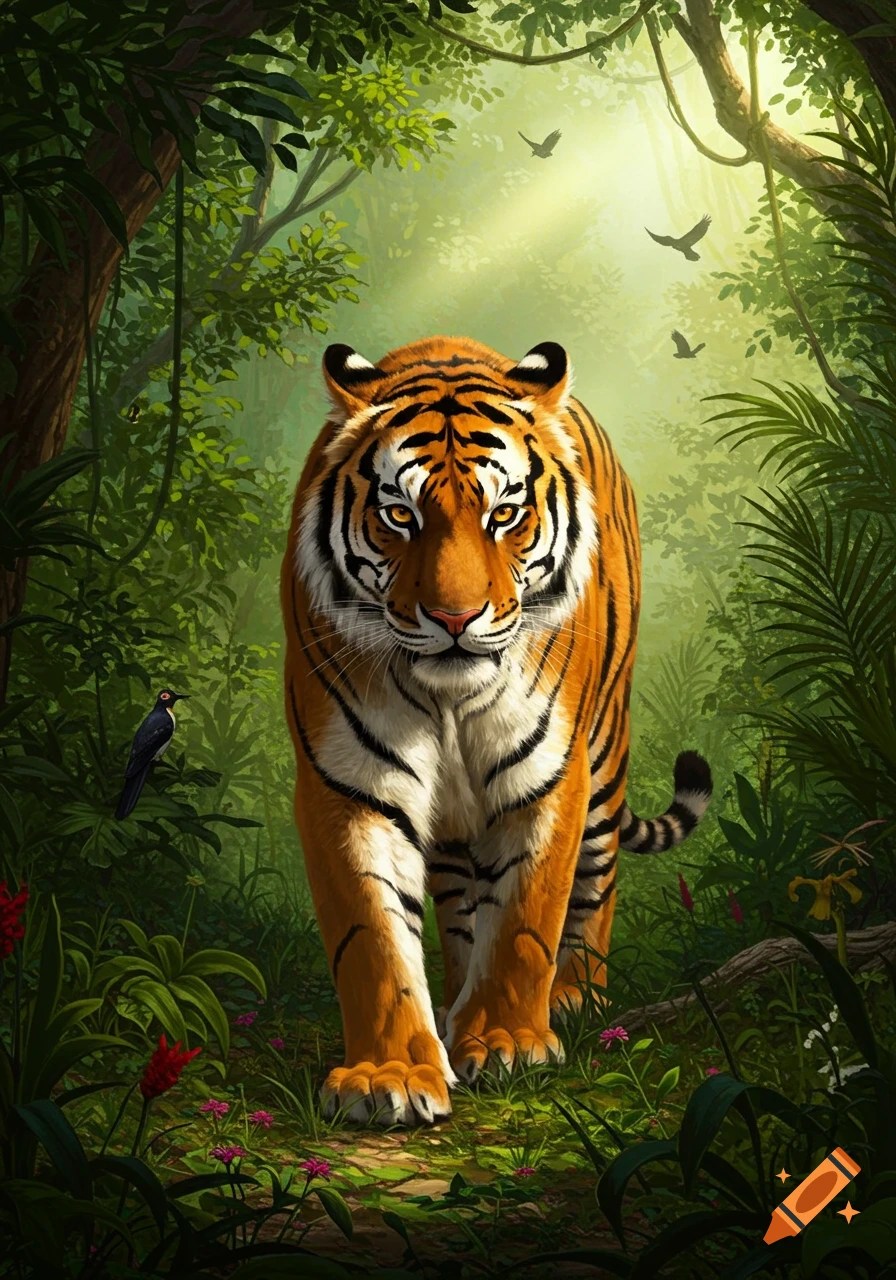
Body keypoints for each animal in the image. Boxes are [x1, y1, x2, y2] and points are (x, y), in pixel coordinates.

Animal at [281, 335, 712, 1127]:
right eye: (400, 515)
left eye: (504, 514)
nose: (454, 618)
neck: (448, 698)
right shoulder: (347, 785)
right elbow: (373, 937)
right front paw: (388, 1074)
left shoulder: (548, 776)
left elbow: (526, 919)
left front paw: (510, 1043)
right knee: (458, 904)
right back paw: (453, 1008)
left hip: (604, 760)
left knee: (596, 883)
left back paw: (574, 997)